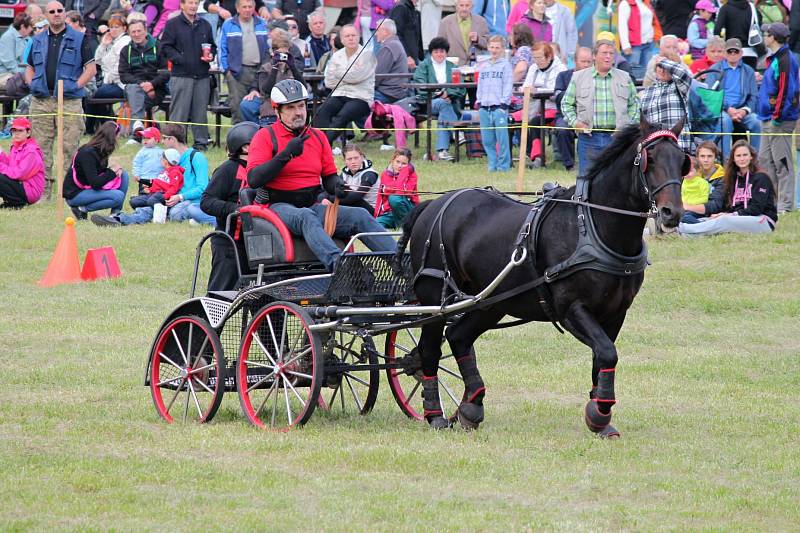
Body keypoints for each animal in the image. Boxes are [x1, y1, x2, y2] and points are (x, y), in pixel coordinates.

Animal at [394, 119, 688, 436]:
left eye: (682, 161)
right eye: (650, 159)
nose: (672, 212)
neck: (593, 226)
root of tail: (432, 205)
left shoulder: (615, 313)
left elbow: (602, 357)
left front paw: (600, 416)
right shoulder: (571, 309)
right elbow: (608, 353)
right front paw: (599, 413)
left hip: (490, 302)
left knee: (458, 336)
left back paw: (471, 406)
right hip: (436, 298)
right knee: (429, 350)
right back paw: (435, 414)